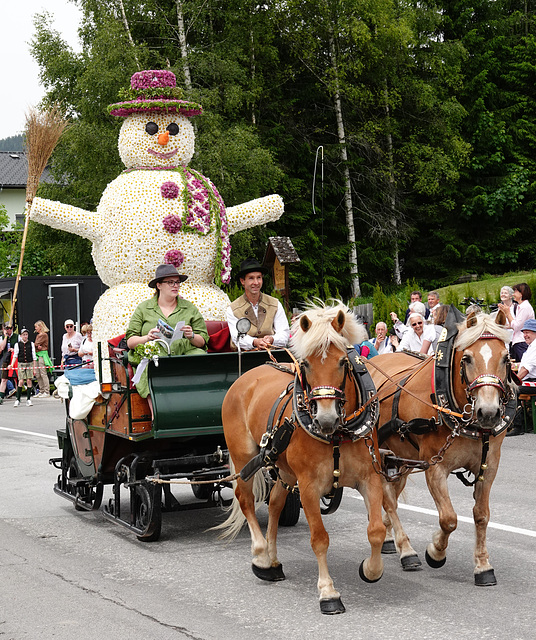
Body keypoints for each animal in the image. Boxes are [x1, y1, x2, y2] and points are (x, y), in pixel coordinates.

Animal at [217, 302, 386, 612]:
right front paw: (328, 592)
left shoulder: (370, 478)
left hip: (284, 469)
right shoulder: (308, 487)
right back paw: (261, 554)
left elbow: (376, 530)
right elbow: (319, 538)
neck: (337, 435)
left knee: (274, 504)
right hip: (243, 455)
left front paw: (371, 569)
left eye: (343, 362)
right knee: (245, 499)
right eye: (305, 364)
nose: (326, 419)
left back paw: (272, 561)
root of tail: (245, 378)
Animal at [368, 308, 516, 584]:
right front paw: (435, 551)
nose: (489, 412)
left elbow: (482, 515)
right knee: (389, 501)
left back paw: (389, 538)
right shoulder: (434, 467)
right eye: (467, 358)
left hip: (399, 459)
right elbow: (449, 519)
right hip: (376, 454)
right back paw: (407, 551)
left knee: (392, 494)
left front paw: (483, 565)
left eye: (506, 358)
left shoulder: (489, 466)